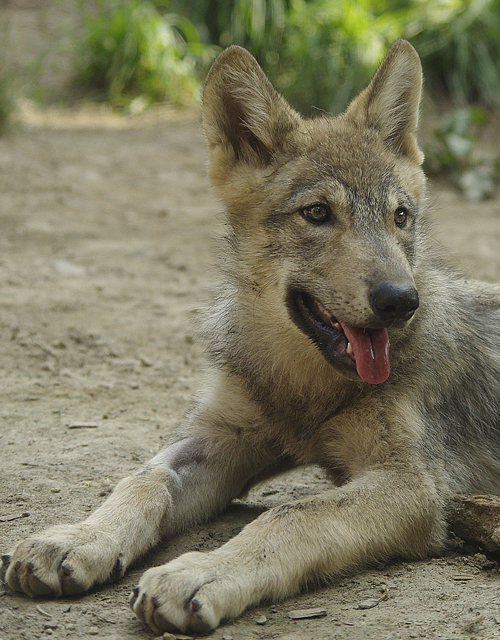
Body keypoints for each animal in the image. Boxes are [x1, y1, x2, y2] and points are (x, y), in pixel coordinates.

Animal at [2, 40, 500, 636]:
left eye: (400, 217)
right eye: (317, 213)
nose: (401, 301)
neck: (304, 389)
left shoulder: (413, 485)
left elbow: (290, 514)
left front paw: (199, 573)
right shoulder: (226, 436)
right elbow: (144, 478)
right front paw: (78, 537)